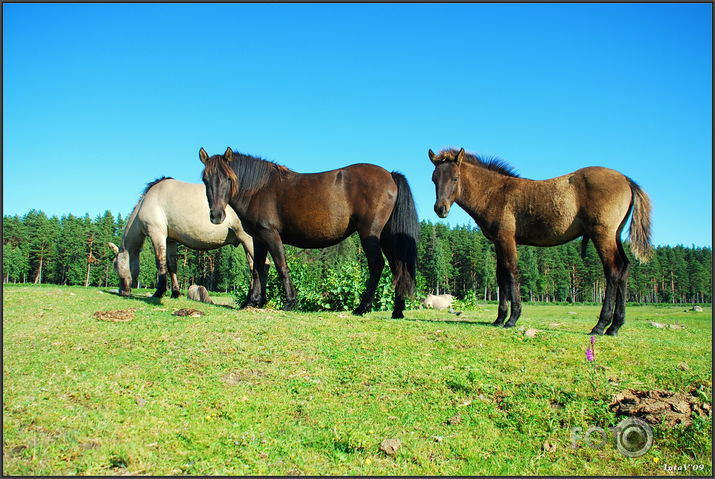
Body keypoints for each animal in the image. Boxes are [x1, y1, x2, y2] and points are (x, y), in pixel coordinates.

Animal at [200, 146, 420, 318]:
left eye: (228, 178)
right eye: (205, 179)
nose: (216, 216)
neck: (258, 189)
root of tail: (390, 174)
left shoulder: (271, 235)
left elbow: (281, 267)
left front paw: (290, 302)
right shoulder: (258, 238)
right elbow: (257, 268)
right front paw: (253, 302)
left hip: (370, 234)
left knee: (377, 265)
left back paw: (362, 307)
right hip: (388, 237)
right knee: (398, 268)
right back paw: (397, 311)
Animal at [430, 148, 656, 336]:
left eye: (455, 178)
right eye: (434, 179)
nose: (440, 209)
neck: (495, 193)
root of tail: (626, 179)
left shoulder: (506, 239)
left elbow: (511, 272)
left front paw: (512, 319)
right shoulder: (497, 242)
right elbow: (500, 275)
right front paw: (499, 318)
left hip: (603, 235)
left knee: (613, 271)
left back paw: (600, 325)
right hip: (614, 235)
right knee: (625, 268)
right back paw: (615, 326)